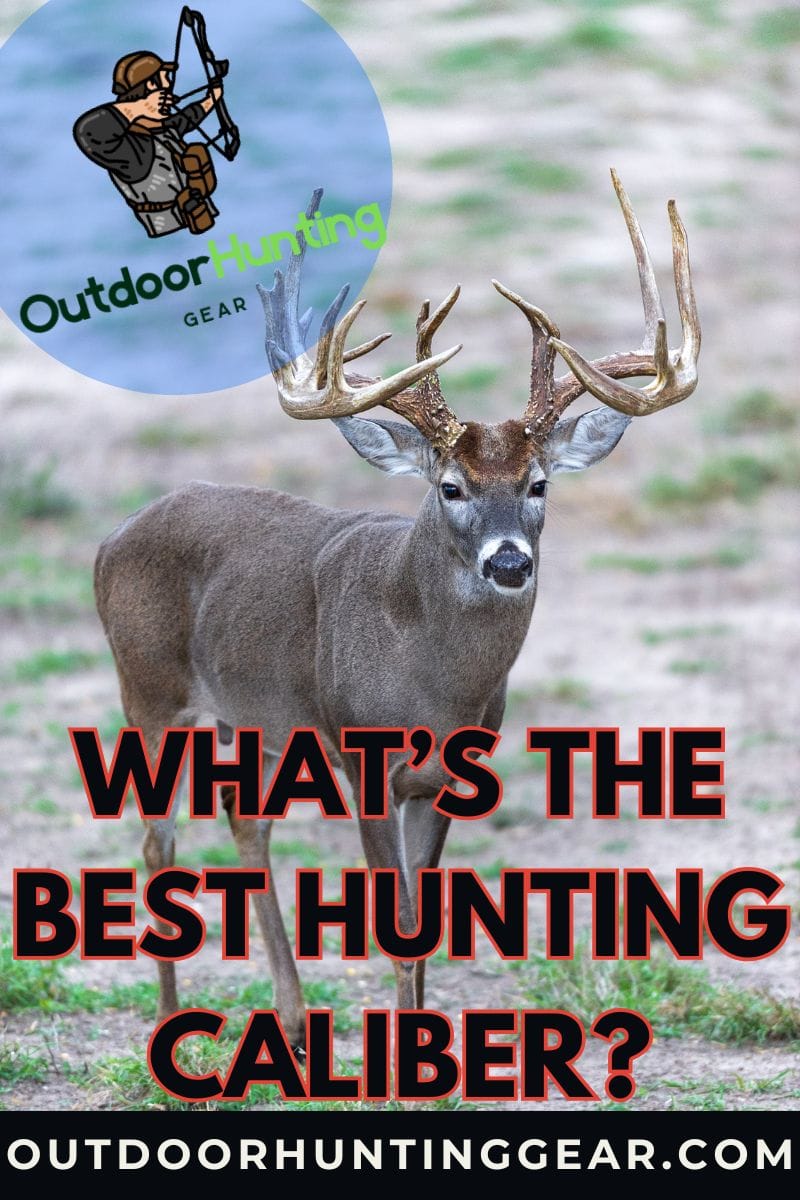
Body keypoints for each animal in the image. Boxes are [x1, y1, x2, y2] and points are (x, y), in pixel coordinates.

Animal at [94, 170, 699, 1049]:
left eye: (539, 484)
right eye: (450, 487)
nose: (509, 561)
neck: (431, 686)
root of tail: (109, 541)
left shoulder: (447, 776)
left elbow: (426, 921)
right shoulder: (362, 759)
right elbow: (396, 918)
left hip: (253, 719)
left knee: (245, 822)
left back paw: (293, 1021)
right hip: (146, 689)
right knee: (155, 840)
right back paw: (172, 1027)